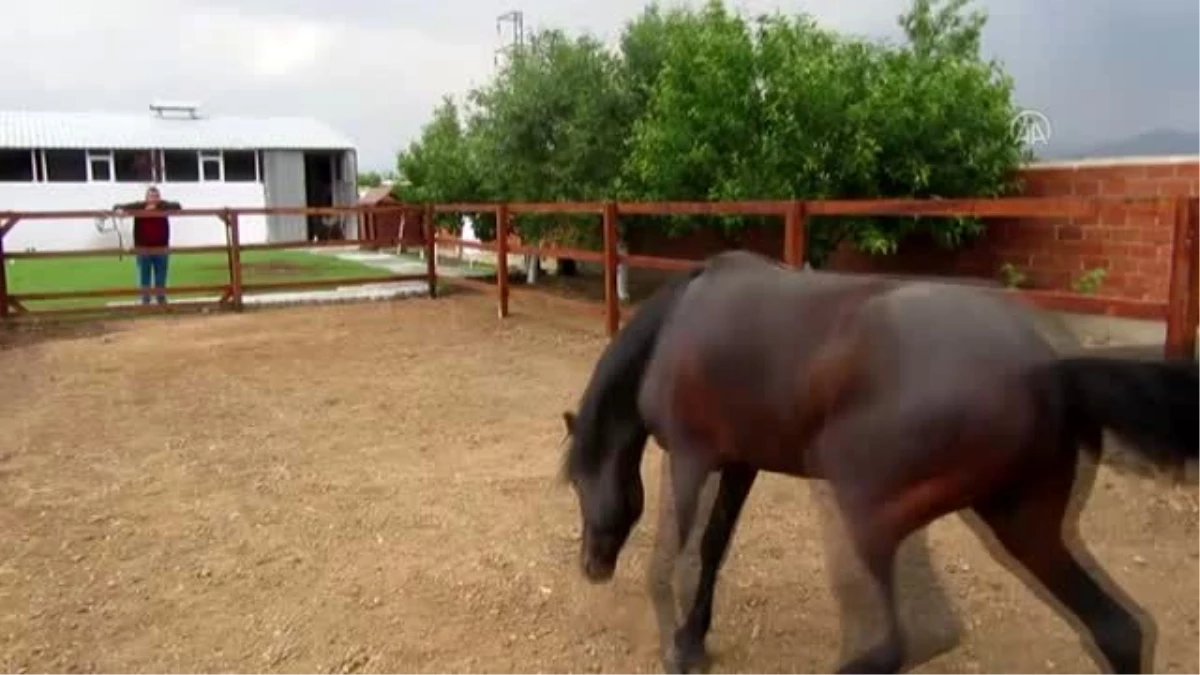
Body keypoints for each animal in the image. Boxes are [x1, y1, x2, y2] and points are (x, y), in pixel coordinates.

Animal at [559, 251, 1200, 672]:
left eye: (578, 482)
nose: (591, 566)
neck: (675, 327)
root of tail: (1046, 372)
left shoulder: (691, 459)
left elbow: (676, 554)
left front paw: (678, 647)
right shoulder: (741, 463)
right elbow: (715, 546)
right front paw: (694, 638)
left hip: (868, 511)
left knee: (908, 642)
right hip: (1022, 525)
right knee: (1118, 630)